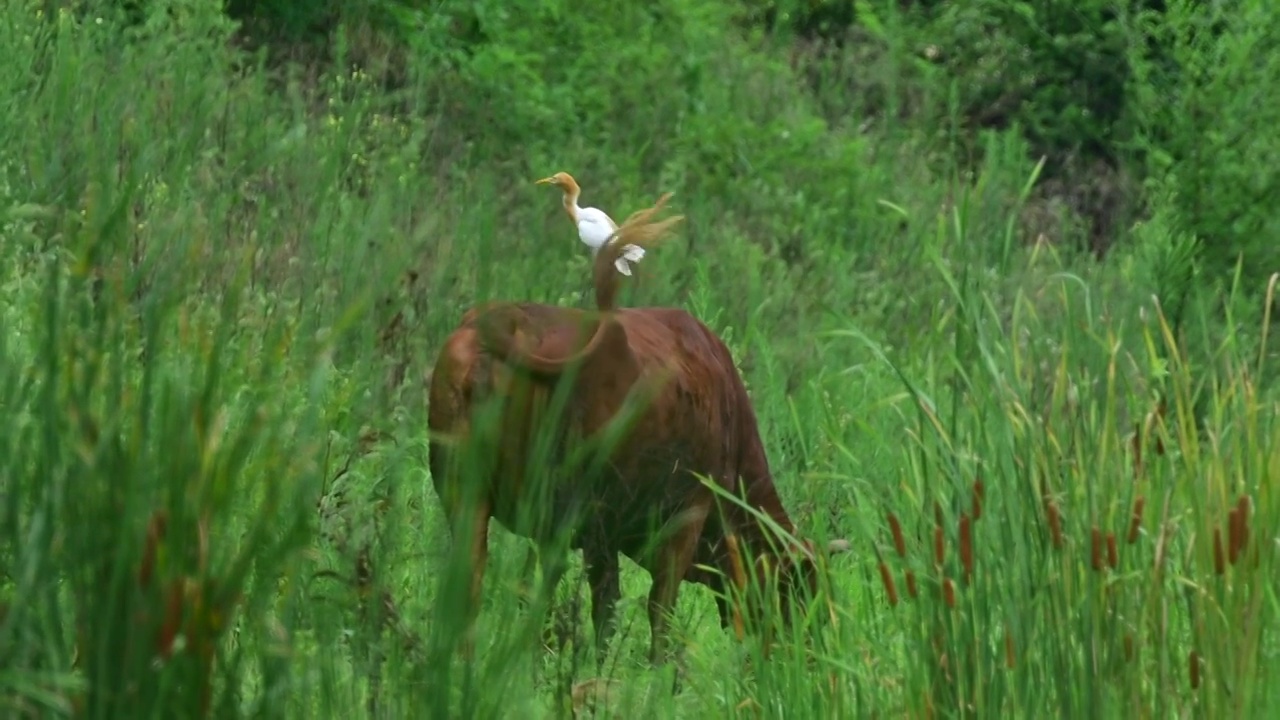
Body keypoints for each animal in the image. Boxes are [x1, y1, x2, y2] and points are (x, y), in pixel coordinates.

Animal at [430, 193, 849, 666]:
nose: (809, 657)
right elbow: (654, 605)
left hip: (469, 497)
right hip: (578, 508)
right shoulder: (683, 516)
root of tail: (507, 320)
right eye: (800, 591)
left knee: (474, 578)